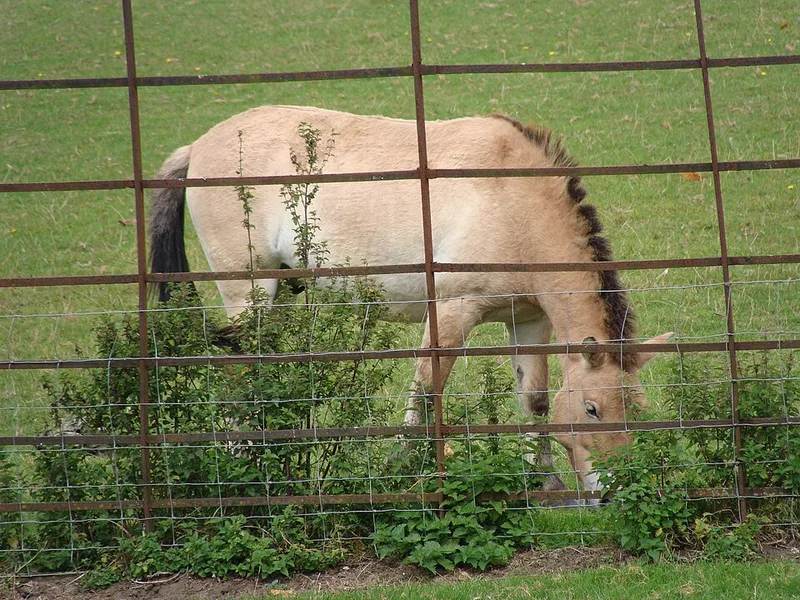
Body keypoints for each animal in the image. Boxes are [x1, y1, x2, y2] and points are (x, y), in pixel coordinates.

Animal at [148, 105, 672, 494]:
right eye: (593, 409)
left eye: (638, 410)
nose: (614, 490)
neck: (512, 200)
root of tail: (198, 147)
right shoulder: (453, 312)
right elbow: (425, 388)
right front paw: (402, 468)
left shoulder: (527, 322)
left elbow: (535, 400)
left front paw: (544, 482)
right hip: (250, 291)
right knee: (237, 368)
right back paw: (244, 467)